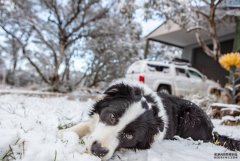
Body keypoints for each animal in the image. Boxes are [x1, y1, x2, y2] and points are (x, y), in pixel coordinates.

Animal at [66, 81, 240, 160]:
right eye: (112, 116)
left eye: (129, 136)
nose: (98, 151)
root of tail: (213, 130)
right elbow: (83, 126)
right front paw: (65, 133)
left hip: (190, 116)